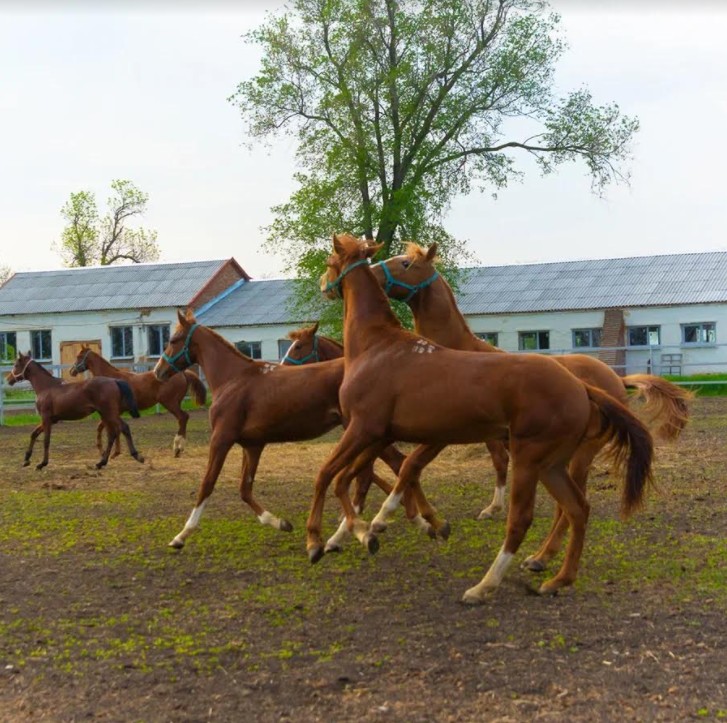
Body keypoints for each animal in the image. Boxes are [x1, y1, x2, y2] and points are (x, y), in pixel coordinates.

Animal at [6, 352, 145, 476]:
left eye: (16, 365)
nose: (8, 379)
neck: (46, 387)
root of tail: (115, 381)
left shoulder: (46, 418)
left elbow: (46, 440)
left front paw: (41, 464)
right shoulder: (51, 420)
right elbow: (34, 434)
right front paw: (26, 460)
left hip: (110, 413)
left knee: (123, 428)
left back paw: (137, 456)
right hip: (105, 414)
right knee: (112, 434)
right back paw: (101, 463)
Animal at [151, 312, 426, 556]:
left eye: (173, 340)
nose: (158, 371)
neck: (233, 379)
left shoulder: (221, 439)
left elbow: (207, 484)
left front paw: (181, 536)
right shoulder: (252, 445)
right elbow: (245, 489)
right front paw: (280, 523)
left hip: (363, 432)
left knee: (389, 467)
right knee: (383, 470)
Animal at [302, 235, 656, 604]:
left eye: (406, 263)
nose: (324, 285)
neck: (377, 346)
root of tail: (584, 386)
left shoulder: (365, 429)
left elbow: (330, 475)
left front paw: (323, 539)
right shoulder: (380, 435)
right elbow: (358, 477)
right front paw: (364, 531)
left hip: (533, 459)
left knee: (523, 519)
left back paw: (485, 585)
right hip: (551, 465)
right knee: (577, 509)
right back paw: (555, 576)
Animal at [370, 243, 692, 572]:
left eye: (405, 263)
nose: (371, 271)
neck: (456, 353)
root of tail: (616, 380)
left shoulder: (448, 433)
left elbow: (413, 464)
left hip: (579, 455)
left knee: (571, 505)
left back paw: (542, 557)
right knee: (569, 504)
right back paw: (542, 556)